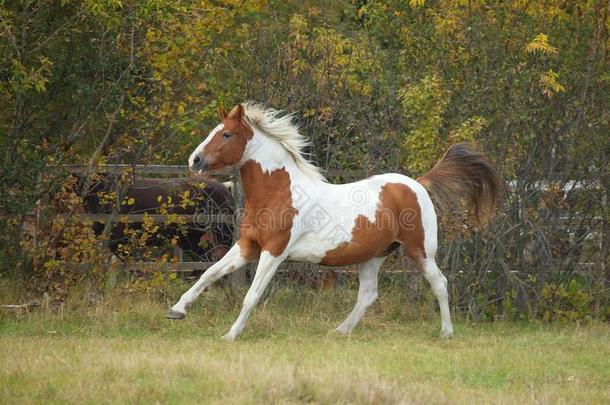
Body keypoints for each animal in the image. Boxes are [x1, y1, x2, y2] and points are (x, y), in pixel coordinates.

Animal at [164, 102, 496, 340]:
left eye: (226, 134)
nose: (194, 160)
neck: (279, 192)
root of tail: (417, 184)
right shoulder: (248, 246)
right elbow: (209, 274)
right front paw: (176, 311)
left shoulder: (274, 251)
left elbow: (251, 295)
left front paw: (231, 335)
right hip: (374, 255)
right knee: (368, 295)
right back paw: (341, 331)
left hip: (420, 250)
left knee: (439, 283)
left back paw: (446, 332)